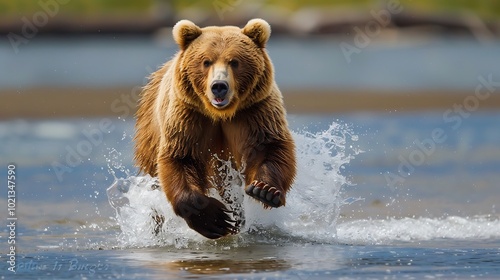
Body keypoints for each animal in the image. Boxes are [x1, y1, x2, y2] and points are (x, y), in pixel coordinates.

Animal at [134, 18, 296, 240]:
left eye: (234, 61)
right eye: (206, 61)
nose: (219, 86)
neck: (221, 114)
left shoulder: (256, 111)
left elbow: (270, 146)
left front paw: (264, 190)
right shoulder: (188, 116)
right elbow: (179, 157)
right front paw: (213, 219)